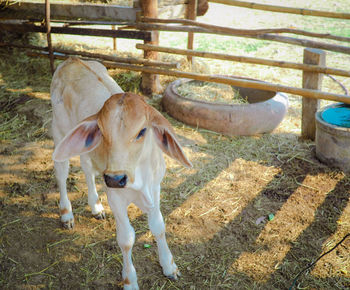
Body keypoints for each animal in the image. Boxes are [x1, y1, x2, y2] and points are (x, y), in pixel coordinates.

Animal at [51, 57, 191, 290]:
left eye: (142, 131)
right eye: (101, 130)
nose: (115, 178)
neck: (139, 179)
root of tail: (72, 59)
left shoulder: (156, 188)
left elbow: (159, 226)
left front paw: (169, 266)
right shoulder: (115, 196)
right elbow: (126, 239)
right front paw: (130, 280)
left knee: (87, 168)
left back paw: (96, 207)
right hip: (60, 131)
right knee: (61, 172)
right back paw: (66, 213)